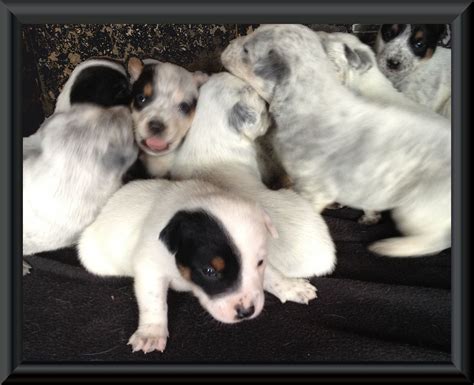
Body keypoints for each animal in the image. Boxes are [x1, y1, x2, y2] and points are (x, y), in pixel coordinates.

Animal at [78, 177, 278, 352]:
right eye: (209, 271)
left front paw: (283, 284)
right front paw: (151, 332)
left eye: (260, 262)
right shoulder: (150, 268)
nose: (246, 312)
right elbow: (154, 301)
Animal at [222, 24, 452, 258]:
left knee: (436, 239)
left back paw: (392, 247)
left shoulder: (313, 188)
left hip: (414, 209)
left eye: (246, 51)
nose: (228, 44)